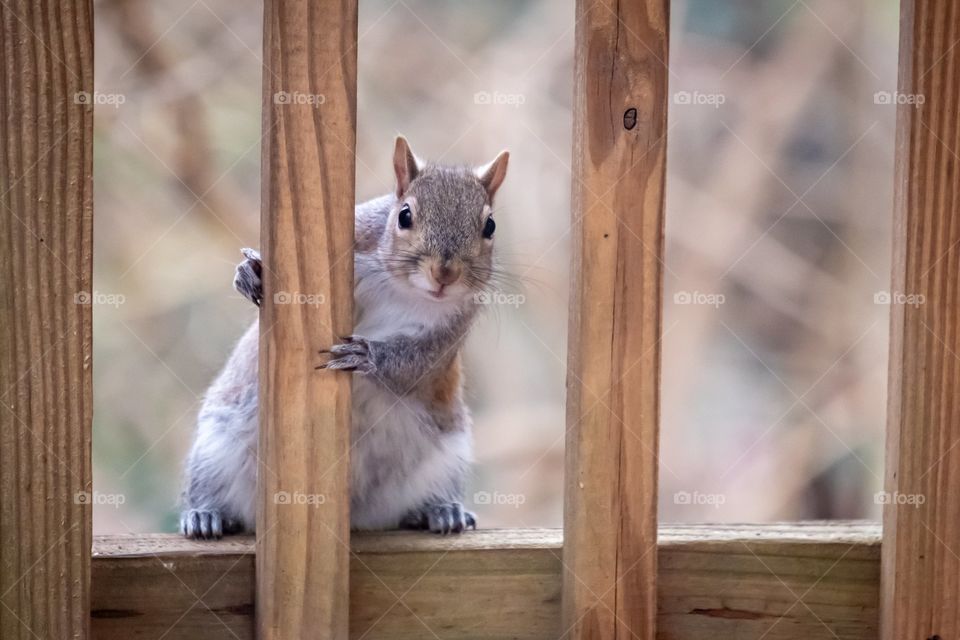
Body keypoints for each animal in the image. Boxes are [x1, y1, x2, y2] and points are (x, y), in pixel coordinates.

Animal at [181, 136, 510, 540]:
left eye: (490, 226)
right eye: (404, 216)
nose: (444, 273)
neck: (404, 288)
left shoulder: (449, 332)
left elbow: (414, 365)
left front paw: (365, 355)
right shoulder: (359, 233)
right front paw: (251, 272)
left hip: (447, 459)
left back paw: (441, 511)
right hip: (216, 450)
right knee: (211, 490)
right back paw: (205, 514)